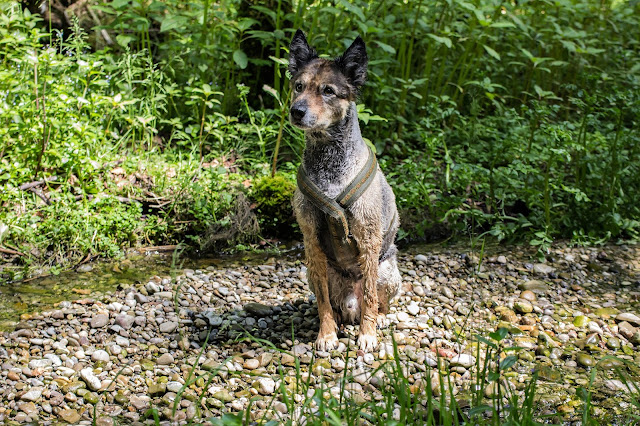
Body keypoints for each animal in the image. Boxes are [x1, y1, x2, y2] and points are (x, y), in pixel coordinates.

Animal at [288, 29, 400, 350]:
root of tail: (352, 305)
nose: (296, 111)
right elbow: (323, 302)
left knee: (378, 302)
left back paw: (378, 320)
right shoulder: (311, 239)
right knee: (333, 303)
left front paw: (368, 335)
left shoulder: (369, 238)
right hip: (315, 271)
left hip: (388, 271)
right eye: (298, 86)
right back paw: (338, 320)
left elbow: (372, 297)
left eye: (328, 91)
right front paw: (326, 334)